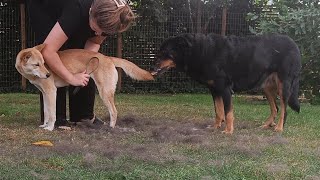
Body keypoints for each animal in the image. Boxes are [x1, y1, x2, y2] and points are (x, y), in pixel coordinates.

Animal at [15, 43, 154, 131]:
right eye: (37, 64)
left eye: (43, 63)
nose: (48, 74)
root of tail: (107, 57)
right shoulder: (44, 93)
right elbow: (46, 112)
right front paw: (44, 125)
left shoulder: (51, 91)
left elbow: (52, 113)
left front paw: (49, 128)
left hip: (104, 92)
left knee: (114, 112)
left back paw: (110, 128)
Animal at [151, 33, 302, 134]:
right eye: (159, 52)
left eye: (165, 52)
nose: (153, 65)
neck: (201, 52)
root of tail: (294, 44)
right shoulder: (214, 90)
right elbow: (218, 111)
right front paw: (216, 127)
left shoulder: (225, 89)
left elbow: (228, 112)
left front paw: (228, 131)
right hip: (266, 87)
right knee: (275, 108)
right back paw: (266, 125)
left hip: (284, 85)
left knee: (284, 109)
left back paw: (279, 128)